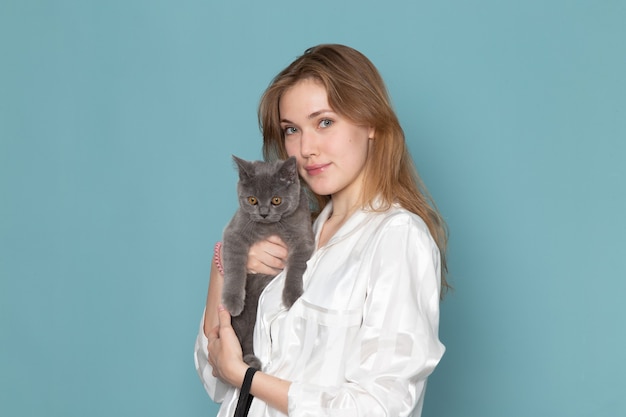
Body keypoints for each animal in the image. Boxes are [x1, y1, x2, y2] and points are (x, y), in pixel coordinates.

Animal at [222, 155, 314, 368]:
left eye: (276, 200)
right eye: (252, 200)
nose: (263, 212)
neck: (270, 227)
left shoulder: (303, 239)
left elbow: (296, 267)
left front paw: (291, 295)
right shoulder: (234, 233)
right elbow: (234, 267)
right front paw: (232, 300)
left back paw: (250, 360)